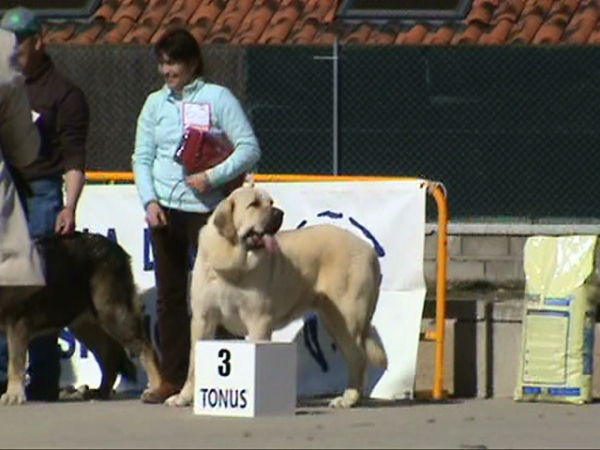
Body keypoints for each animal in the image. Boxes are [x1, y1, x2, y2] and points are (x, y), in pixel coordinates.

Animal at [166, 183, 386, 408]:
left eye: (271, 203)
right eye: (254, 204)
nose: (279, 213)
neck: (233, 261)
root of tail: (369, 250)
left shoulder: (259, 320)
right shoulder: (203, 318)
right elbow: (193, 362)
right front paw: (184, 397)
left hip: (346, 321)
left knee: (358, 359)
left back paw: (348, 398)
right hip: (333, 320)